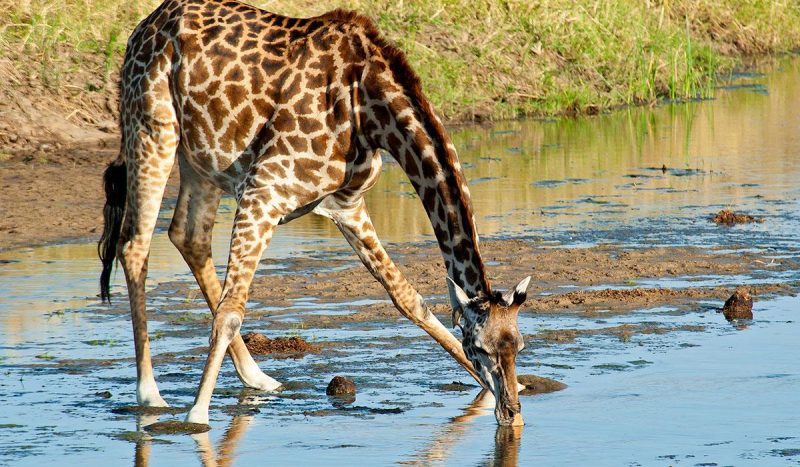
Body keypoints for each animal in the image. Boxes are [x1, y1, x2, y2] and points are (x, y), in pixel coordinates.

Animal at [98, 0, 532, 427]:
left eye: (519, 346)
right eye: (479, 347)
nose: (511, 414)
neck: (369, 109)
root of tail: (146, 25)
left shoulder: (347, 206)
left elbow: (408, 298)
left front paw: (498, 391)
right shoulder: (262, 193)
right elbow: (231, 312)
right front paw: (197, 416)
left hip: (200, 160)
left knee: (188, 236)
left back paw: (257, 377)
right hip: (152, 129)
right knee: (135, 246)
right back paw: (150, 393)